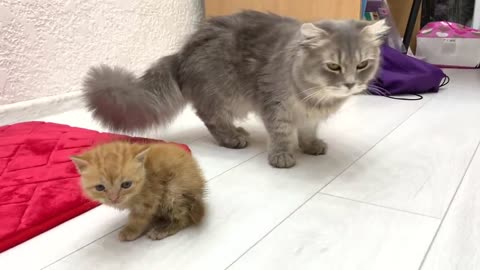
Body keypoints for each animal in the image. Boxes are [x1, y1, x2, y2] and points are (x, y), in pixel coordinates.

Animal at [70, 141, 205, 240]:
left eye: (126, 185)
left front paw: (131, 231)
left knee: (184, 218)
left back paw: (163, 229)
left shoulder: (150, 199)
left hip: (173, 192)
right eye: (100, 187)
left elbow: (138, 218)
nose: (114, 199)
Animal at [84, 11, 388, 168]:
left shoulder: (309, 116)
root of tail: (181, 53)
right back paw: (232, 138)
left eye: (362, 64)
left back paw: (238, 131)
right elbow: (281, 133)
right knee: (210, 118)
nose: (351, 83)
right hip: (226, 96)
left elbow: (308, 130)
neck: (315, 97)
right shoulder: (274, 105)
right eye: (334, 67)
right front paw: (282, 156)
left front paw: (310, 145)